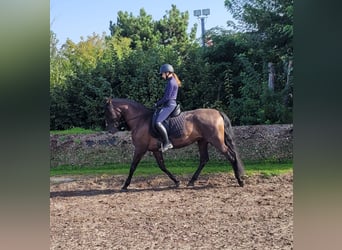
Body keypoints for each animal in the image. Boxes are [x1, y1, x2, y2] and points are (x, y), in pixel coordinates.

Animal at [104, 97, 246, 189]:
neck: (140, 120)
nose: (110, 130)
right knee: (204, 159)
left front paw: (125, 185)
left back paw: (240, 181)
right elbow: (162, 166)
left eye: (108, 111)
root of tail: (217, 112)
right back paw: (191, 182)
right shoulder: (155, 150)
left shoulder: (140, 148)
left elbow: (133, 166)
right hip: (202, 141)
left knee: (231, 156)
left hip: (216, 141)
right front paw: (176, 181)